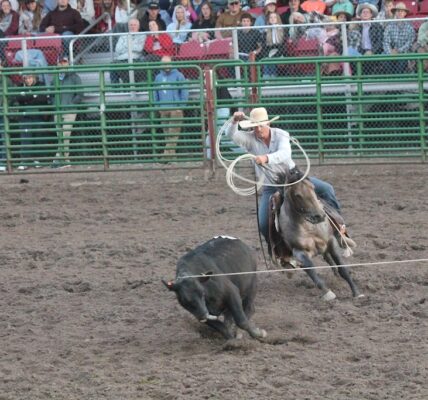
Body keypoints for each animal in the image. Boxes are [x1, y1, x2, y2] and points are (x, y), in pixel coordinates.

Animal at [269, 168, 364, 301]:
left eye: (313, 188)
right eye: (297, 195)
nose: (320, 216)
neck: (309, 227)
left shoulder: (331, 242)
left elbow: (343, 269)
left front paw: (356, 292)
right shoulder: (300, 253)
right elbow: (312, 271)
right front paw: (328, 293)